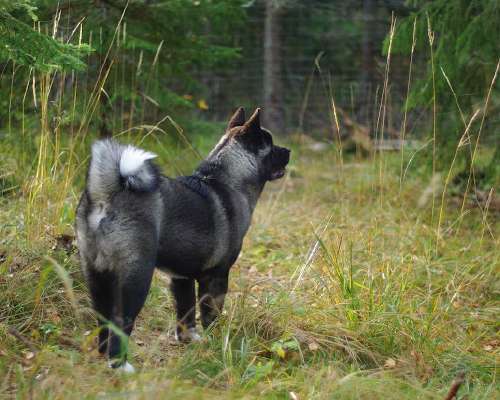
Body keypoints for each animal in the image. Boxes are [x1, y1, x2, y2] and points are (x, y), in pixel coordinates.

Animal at [76, 107, 292, 372]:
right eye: (270, 144)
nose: (288, 151)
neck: (228, 180)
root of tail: (107, 194)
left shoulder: (182, 278)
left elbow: (186, 311)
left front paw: (189, 339)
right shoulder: (217, 276)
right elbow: (210, 314)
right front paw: (217, 342)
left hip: (97, 275)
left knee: (103, 316)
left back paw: (103, 354)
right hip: (136, 277)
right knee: (121, 319)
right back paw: (121, 365)